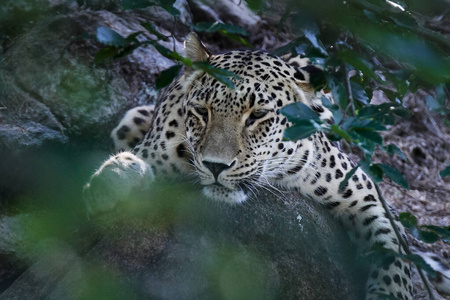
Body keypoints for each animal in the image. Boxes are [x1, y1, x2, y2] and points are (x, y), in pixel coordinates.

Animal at [83, 32, 446, 300]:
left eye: (257, 116)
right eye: (201, 110)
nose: (215, 166)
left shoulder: (364, 192)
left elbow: (393, 258)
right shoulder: (154, 152)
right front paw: (107, 185)